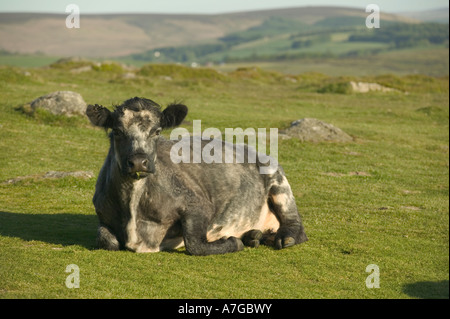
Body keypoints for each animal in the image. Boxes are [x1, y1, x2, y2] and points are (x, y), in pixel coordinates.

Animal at [86, 97, 308, 258]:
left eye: (157, 131)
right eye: (117, 131)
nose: (139, 162)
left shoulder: (199, 204)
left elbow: (194, 243)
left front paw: (231, 242)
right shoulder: (102, 212)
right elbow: (107, 240)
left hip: (278, 182)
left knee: (296, 227)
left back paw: (282, 238)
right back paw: (254, 236)